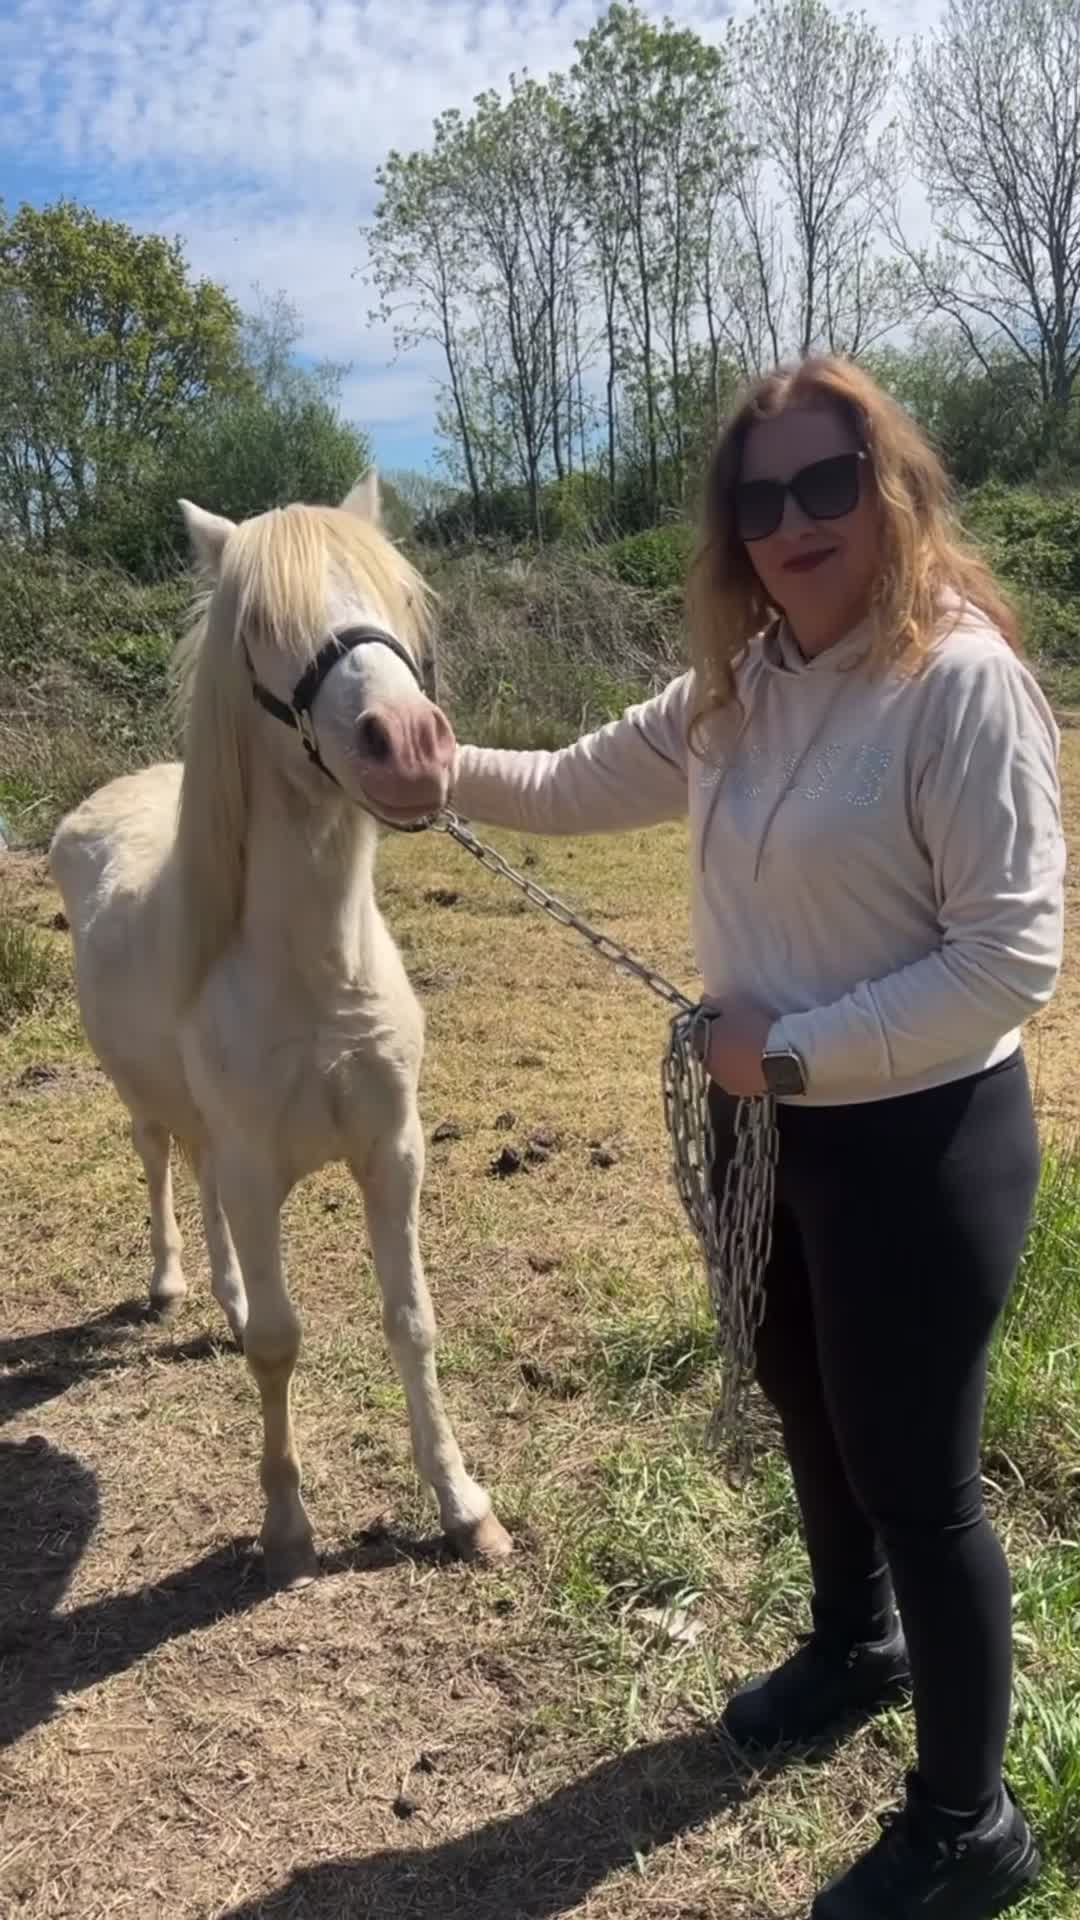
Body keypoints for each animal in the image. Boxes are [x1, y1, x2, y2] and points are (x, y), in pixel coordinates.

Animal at [49, 475, 512, 1587]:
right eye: (259, 624)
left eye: (396, 596)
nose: (410, 744)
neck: (314, 973)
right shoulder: (262, 1167)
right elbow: (279, 1344)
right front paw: (288, 1529)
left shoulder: (392, 1151)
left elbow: (411, 1321)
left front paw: (463, 1508)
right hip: (145, 1103)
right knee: (162, 1166)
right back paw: (173, 1285)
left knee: (203, 1184)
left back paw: (221, 1295)